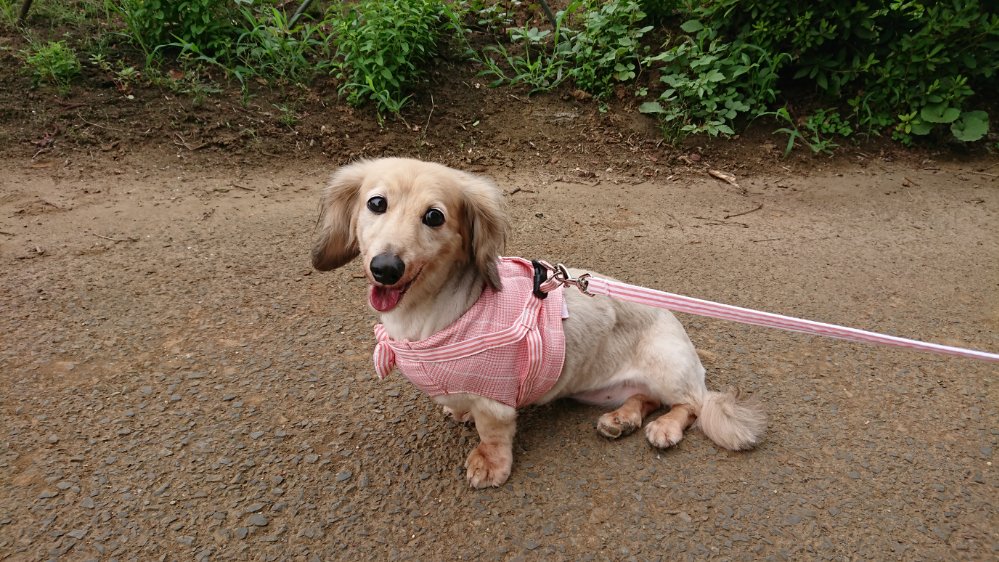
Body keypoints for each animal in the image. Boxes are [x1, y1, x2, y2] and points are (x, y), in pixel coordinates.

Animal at [311, 157, 766, 488]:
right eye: (376, 203)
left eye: (434, 217)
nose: (386, 268)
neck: (432, 314)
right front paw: (458, 412)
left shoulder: (495, 395)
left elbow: (492, 432)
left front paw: (489, 465)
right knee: (646, 398)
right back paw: (622, 420)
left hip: (667, 364)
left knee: (692, 405)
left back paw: (665, 428)